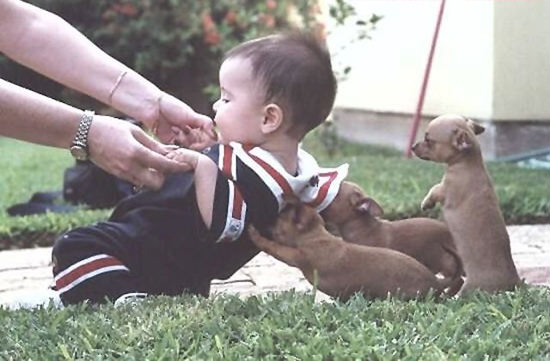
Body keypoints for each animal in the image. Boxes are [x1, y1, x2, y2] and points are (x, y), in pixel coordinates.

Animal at [414, 114, 520, 294]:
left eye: (428, 140)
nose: (413, 146)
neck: (467, 162)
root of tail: (514, 283)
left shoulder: (445, 190)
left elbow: (434, 189)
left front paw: (426, 203)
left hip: (470, 286)